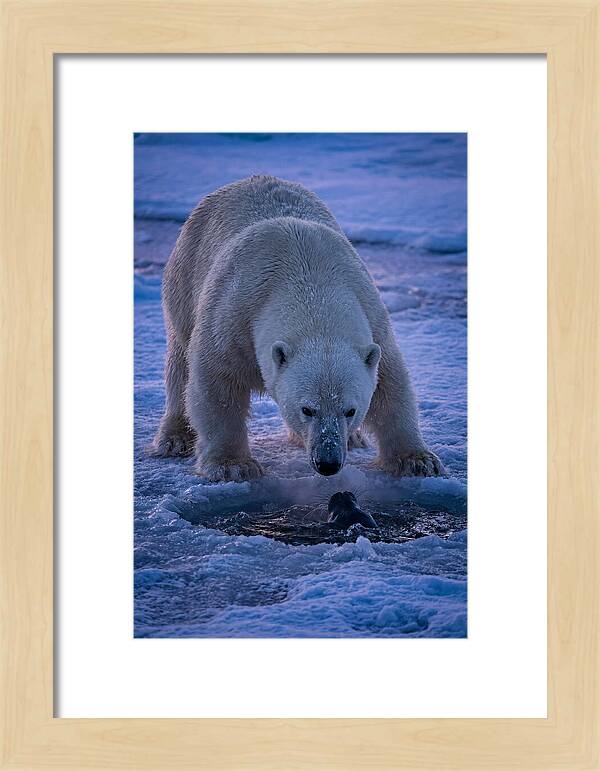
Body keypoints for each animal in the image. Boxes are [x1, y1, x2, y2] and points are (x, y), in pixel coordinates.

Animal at [152, 175, 444, 483]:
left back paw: (354, 439)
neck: (309, 279)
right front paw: (233, 465)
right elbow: (217, 384)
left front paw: (419, 461)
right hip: (185, 276)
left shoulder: (373, 317)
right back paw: (174, 438)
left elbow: (390, 384)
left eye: (350, 410)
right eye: (307, 409)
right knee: (180, 361)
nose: (328, 462)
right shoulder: (233, 315)